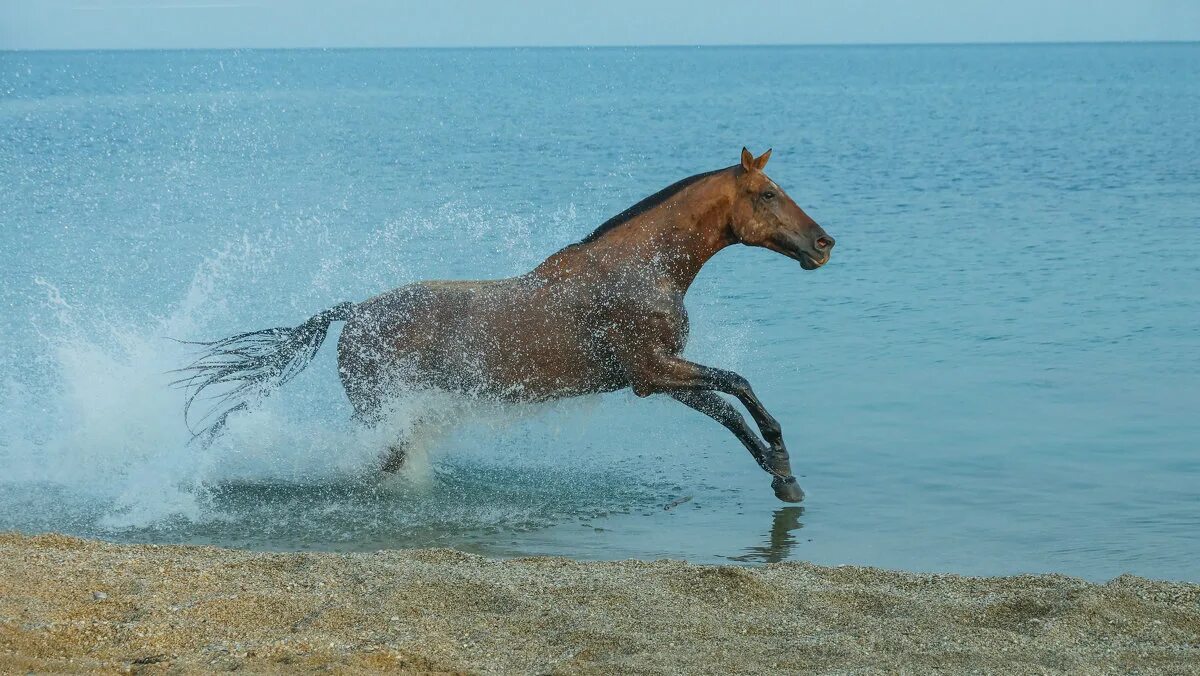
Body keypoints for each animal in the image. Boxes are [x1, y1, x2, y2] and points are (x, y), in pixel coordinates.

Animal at [174, 147, 835, 501]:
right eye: (769, 194)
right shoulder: (654, 370)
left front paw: (782, 477)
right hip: (380, 407)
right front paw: (782, 460)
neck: (640, 271)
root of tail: (354, 312)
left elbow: (727, 411)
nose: (824, 244)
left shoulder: (657, 379)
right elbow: (740, 386)